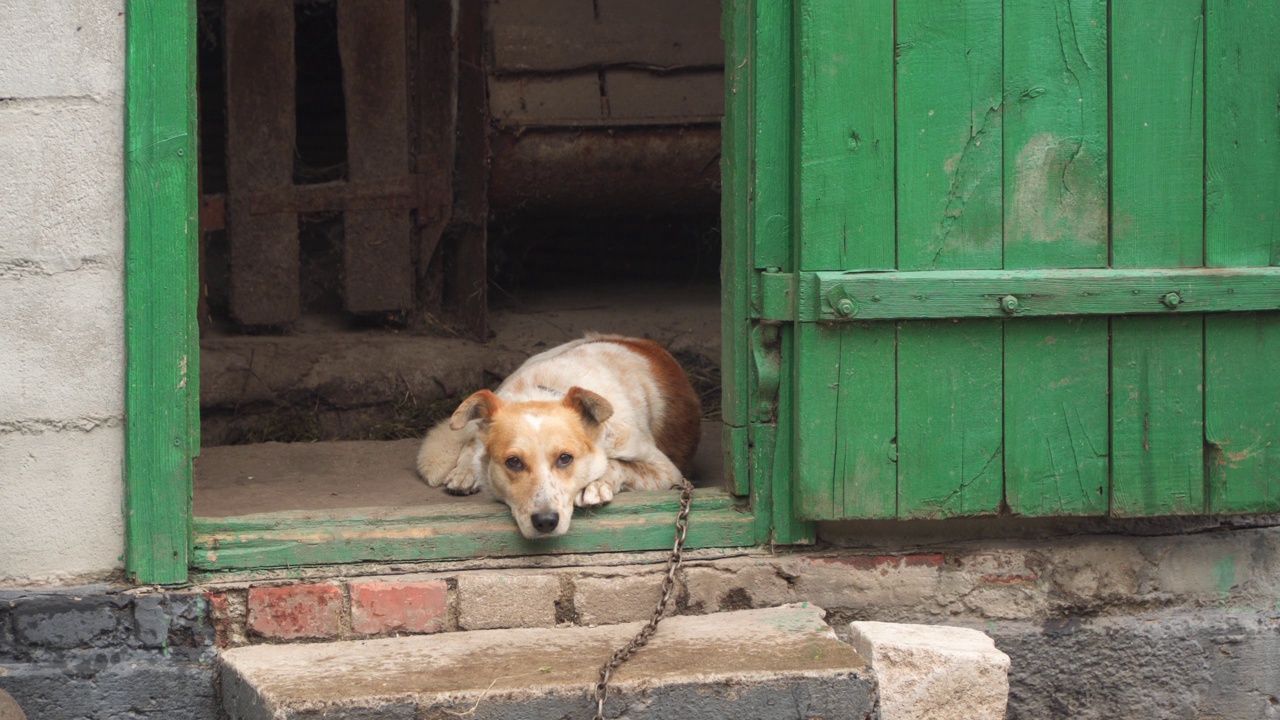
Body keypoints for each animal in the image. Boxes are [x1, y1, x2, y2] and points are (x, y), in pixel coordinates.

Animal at [417, 333, 701, 535]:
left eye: (565, 458)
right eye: (513, 462)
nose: (545, 522)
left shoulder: (667, 471)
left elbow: (617, 465)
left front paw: (596, 484)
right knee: (471, 444)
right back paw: (465, 472)